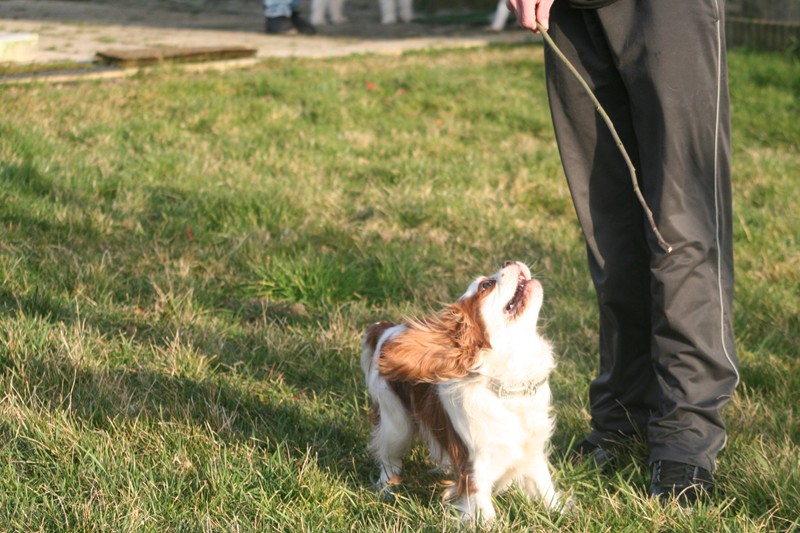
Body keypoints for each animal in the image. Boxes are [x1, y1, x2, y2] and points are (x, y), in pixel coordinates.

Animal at [362, 260, 564, 520]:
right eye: (486, 285)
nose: (509, 261)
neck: (509, 384)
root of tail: (386, 330)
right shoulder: (474, 468)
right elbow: (485, 514)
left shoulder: (533, 454)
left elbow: (546, 490)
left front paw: (562, 515)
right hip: (396, 424)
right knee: (388, 458)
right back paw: (386, 490)